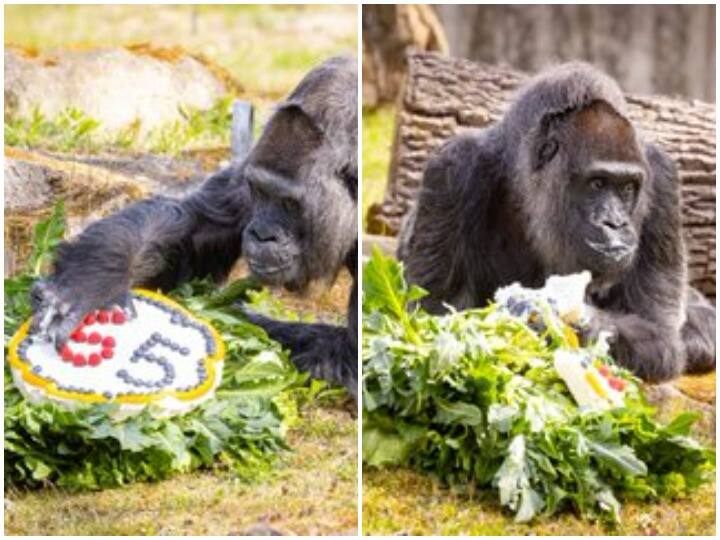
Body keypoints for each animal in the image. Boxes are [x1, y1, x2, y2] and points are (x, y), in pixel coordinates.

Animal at [29, 56, 358, 396]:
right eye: (259, 190)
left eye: (290, 202)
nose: (261, 234)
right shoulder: (251, 161)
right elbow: (193, 225)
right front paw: (89, 283)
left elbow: (346, 356)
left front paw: (232, 314)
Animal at [400, 63, 716, 382]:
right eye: (596, 184)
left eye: (627, 188)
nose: (615, 224)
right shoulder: (452, 169)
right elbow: (434, 314)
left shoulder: (663, 179)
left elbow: (659, 335)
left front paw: (564, 319)